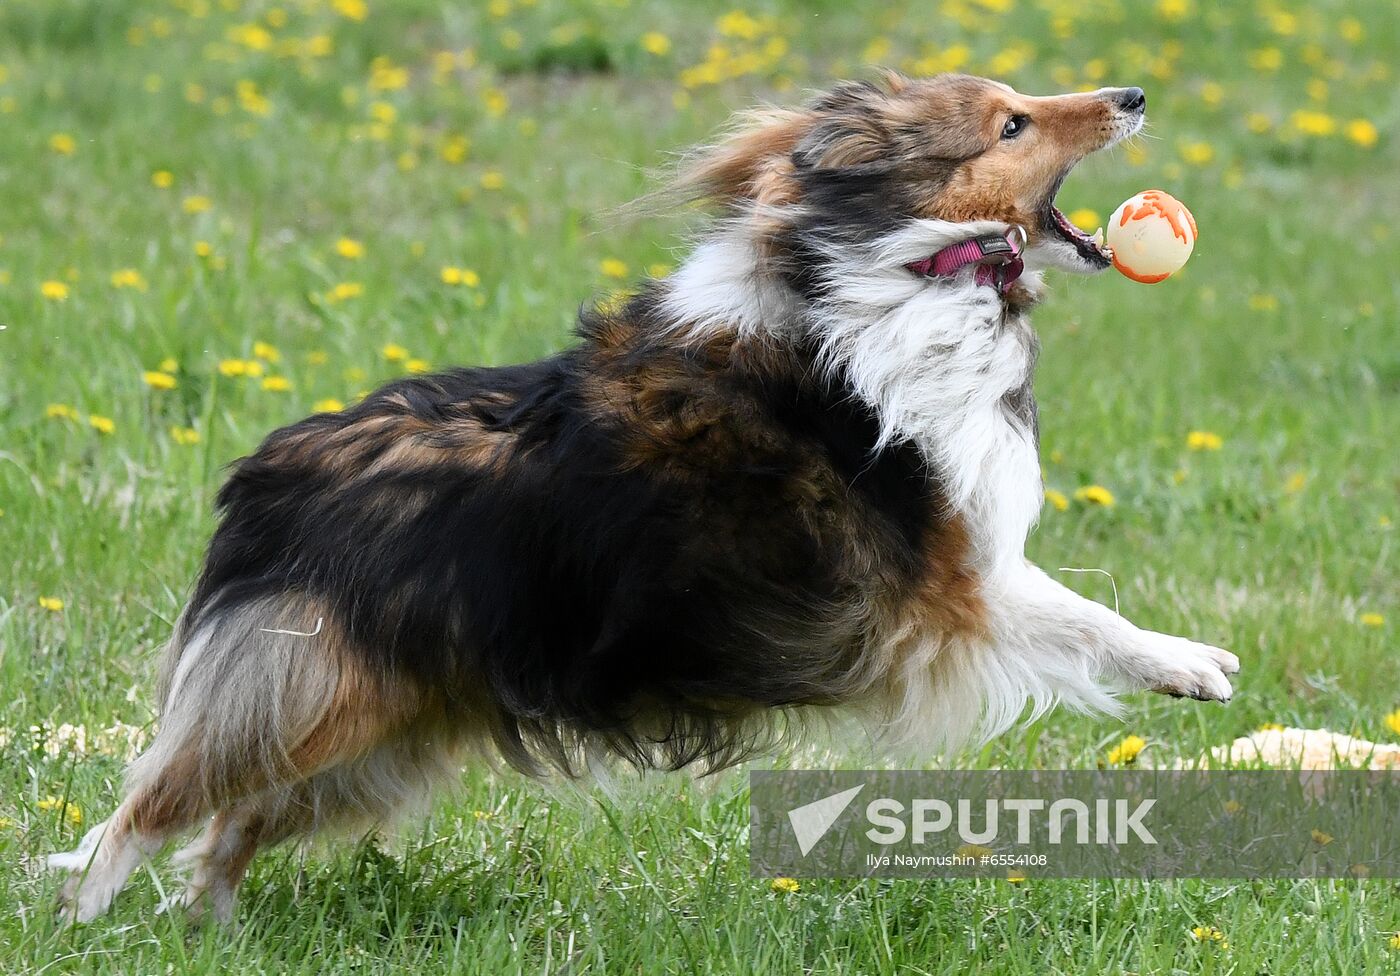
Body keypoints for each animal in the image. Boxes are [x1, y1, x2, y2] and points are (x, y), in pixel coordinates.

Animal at [51, 74, 1237, 918]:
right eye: (1010, 123)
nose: (1132, 94)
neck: (902, 272)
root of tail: (263, 480)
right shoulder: (951, 584)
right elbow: (1078, 615)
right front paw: (1191, 666)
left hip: (375, 739)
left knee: (226, 832)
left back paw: (208, 932)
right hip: (311, 698)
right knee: (151, 805)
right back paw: (85, 919)